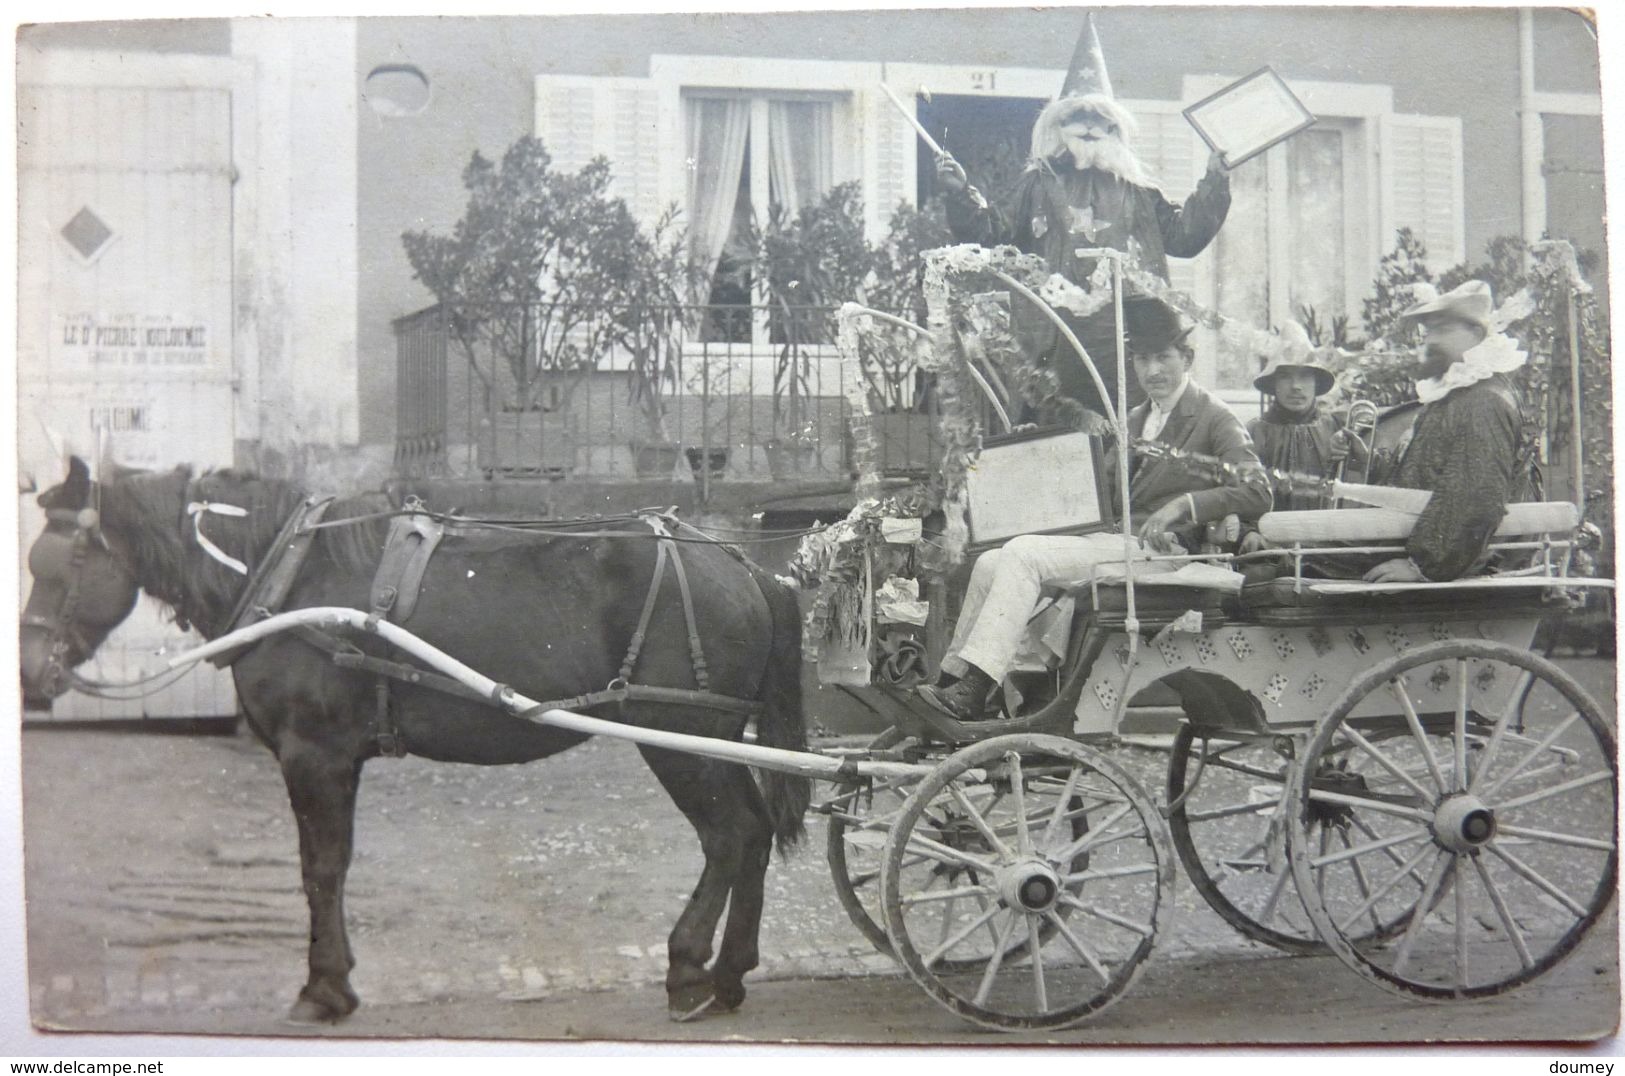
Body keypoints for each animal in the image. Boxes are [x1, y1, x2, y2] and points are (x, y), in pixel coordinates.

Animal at [22, 458, 809, 1027]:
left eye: (63, 563)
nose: (31, 676)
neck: (289, 573)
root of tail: (745, 567)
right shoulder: (331, 761)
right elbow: (329, 867)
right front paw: (334, 981)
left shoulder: (315, 756)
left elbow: (321, 869)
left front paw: (323, 988)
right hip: (710, 739)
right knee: (752, 832)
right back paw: (730, 972)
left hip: (680, 737)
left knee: (730, 835)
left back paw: (689, 970)